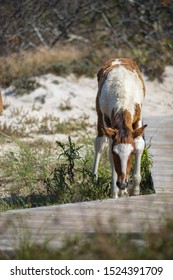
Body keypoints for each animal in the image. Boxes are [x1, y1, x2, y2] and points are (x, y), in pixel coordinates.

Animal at [92, 58, 147, 198]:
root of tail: (118, 59)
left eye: (132, 153)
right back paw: (94, 177)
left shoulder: (138, 118)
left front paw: (134, 190)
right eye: (115, 153)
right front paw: (115, 192)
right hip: (100, 116)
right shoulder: (108, 123)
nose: (122, 183)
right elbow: (109, 153)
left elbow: (139, 144)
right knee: (99, 142)